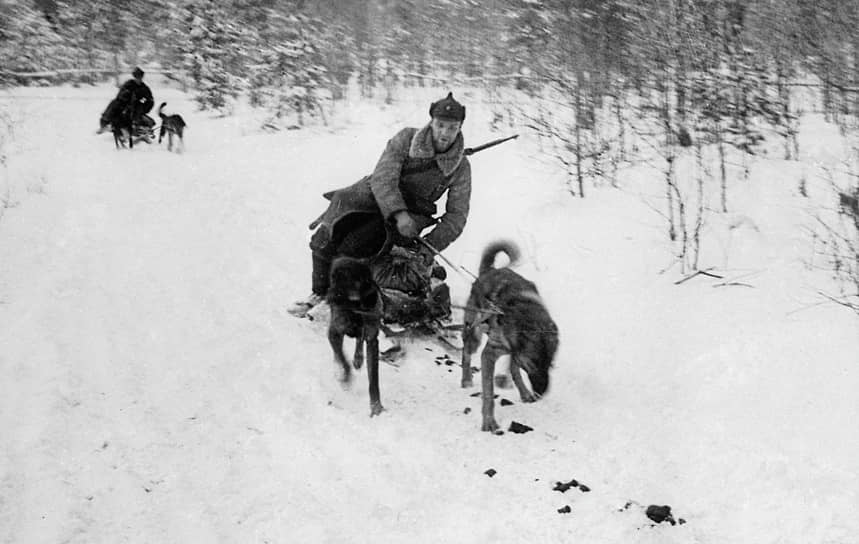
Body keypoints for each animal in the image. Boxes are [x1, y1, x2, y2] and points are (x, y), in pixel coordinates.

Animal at [328, 255, 384, 416]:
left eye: (347, 279)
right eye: (333, 277)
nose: (329, 296)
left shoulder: (372, 340)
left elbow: (374, 380)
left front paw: (376, 406)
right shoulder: (334, 332)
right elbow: (342, 358)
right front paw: (345, 379)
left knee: (359, 339)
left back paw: (358, 357)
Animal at [460, 240, 560, 432]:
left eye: (550, 364)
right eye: (532, 365)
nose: (541, 393)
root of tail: (489, 271)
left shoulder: (515, 352)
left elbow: (514, 370)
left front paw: (522, 390)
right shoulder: (489, 355)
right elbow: (488, 394)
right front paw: (489, 421)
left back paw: (523, 391)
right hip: (473, 336)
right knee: (466, 354)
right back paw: (466, 379)